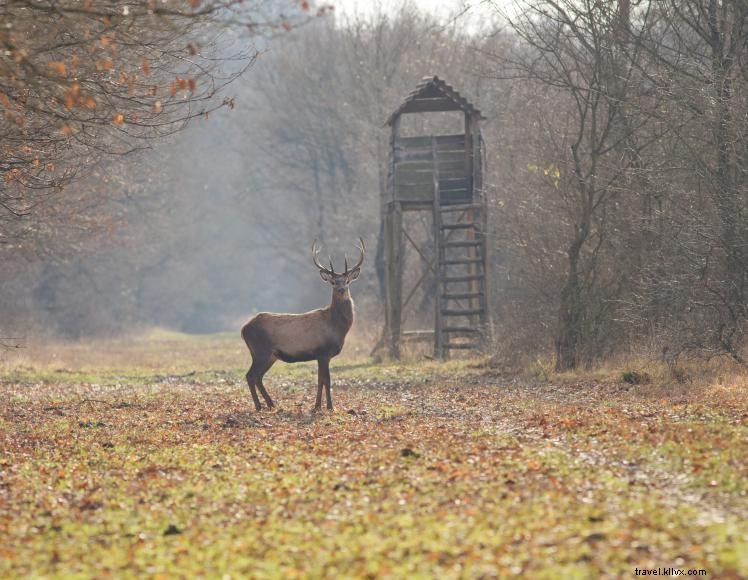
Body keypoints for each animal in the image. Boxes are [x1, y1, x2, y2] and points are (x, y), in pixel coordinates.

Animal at [240, 238, 365, 412]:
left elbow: (320, 380)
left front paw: (318, 406)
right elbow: (326, 380)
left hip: (270, 355)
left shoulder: (321, 355)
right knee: (250, 375)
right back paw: (259, 406)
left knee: (257, 376)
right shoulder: (323, 352)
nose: (341, 289)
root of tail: (244, 328)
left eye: (347, 281)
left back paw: (271, 404)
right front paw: (328, 407)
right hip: (260, 350)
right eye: (333, 282)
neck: (336, 328)